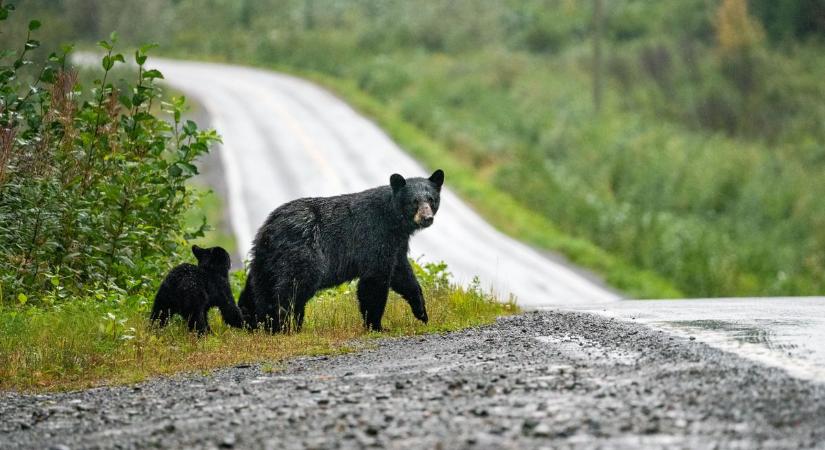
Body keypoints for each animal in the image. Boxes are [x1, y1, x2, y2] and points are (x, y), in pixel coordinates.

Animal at [238, 169, 444, 330]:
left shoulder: (396, 244)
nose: (427, 218)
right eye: (414, 201)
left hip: (265, 258)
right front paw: (376, 325)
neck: (394, 220)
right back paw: (286, 325)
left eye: (431, 199)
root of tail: (269, 226)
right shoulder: (375, 237)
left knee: (258, 288)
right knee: (292, 288)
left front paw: (422, 312)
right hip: (302, 252)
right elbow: (374, 279)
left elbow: (402, 274)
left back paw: (258, 322)